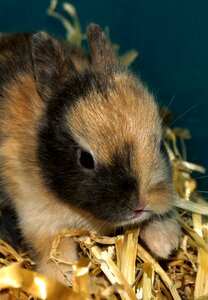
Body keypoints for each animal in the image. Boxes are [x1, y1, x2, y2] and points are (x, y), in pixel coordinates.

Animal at [0, 24, 180, 284]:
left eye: (159, 145)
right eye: (85, 159)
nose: (139, 206)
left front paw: (165, 243)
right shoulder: (42, 225)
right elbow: (59, 263)